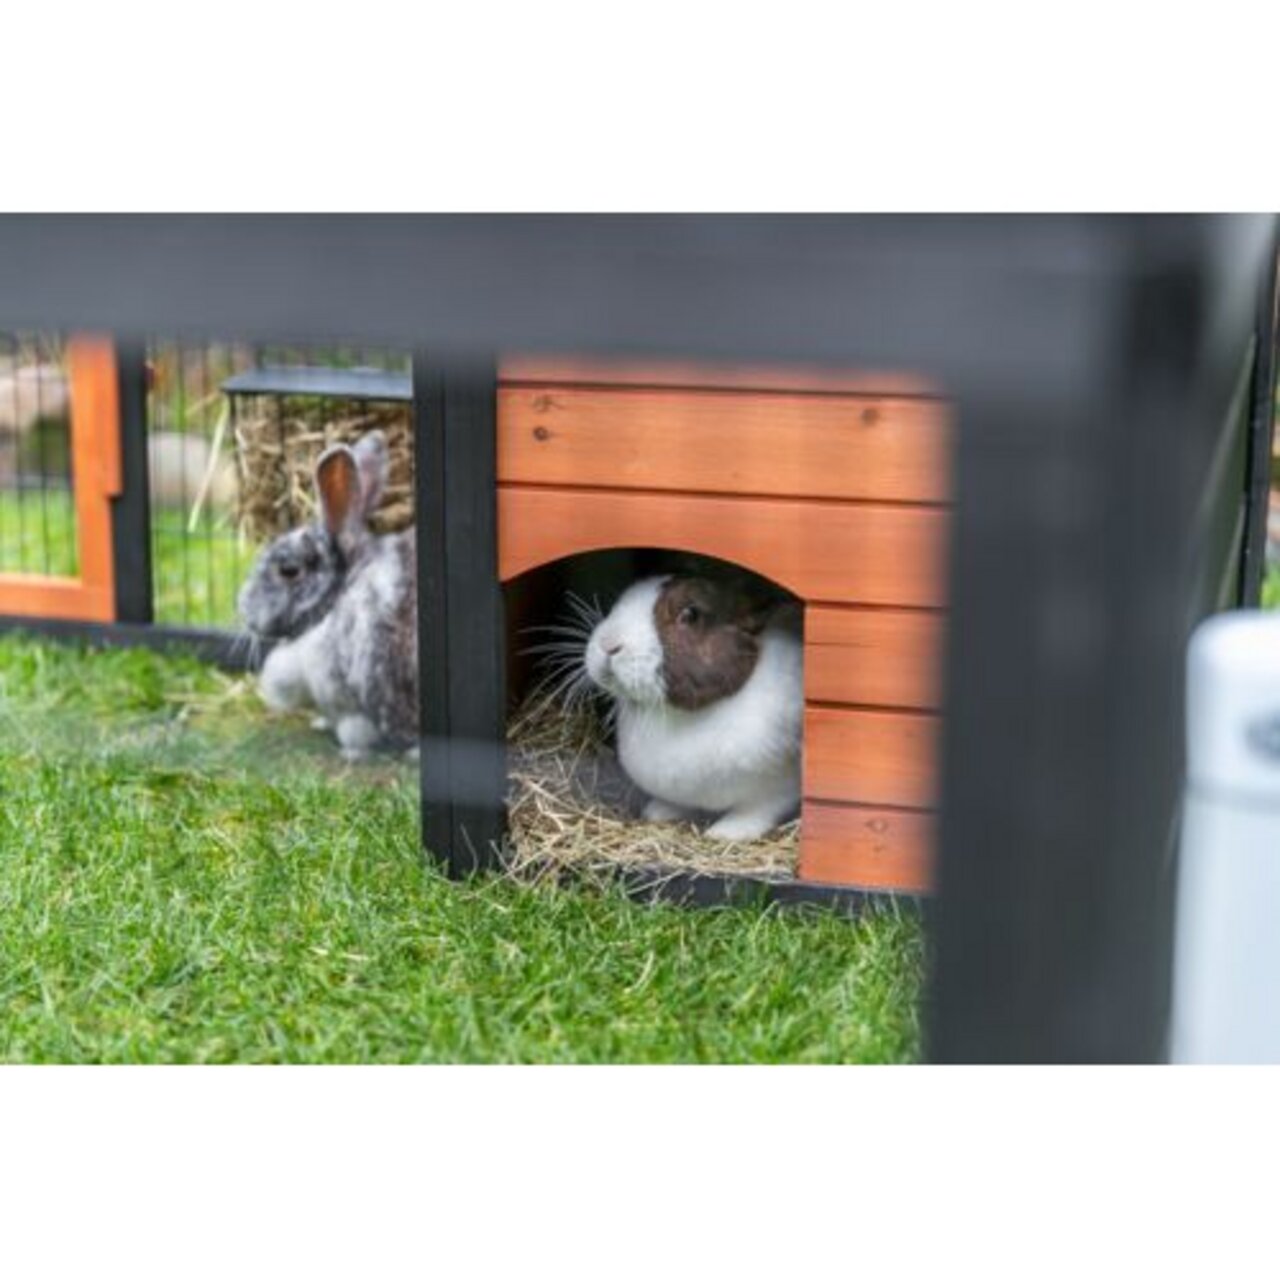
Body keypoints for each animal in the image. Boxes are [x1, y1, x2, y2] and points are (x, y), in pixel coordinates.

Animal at [583, 572, 803, 840]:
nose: (609, 643)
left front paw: (725, 833)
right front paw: (658, 811)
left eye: (690, 615)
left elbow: (758, 810)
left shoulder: (777, 789)